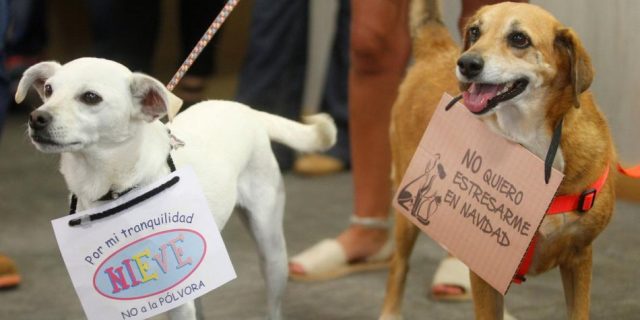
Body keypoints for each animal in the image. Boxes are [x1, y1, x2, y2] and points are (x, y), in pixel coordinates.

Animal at [15, 57, 338, 320]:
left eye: (90, 97)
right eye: (48, 90)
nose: (36, 118)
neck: (113, 191)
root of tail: (247, 110)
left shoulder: (176, 298)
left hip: (271, 250)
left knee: (273, 304)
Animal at [382, 2, 616, 320]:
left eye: (519, 39)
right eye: (474, 31)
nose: (467, 64)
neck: (531, 141)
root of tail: (437, 49)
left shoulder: (579, 256)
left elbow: (578, 311)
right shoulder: (484, 268)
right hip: (407, 212)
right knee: (399, 265)